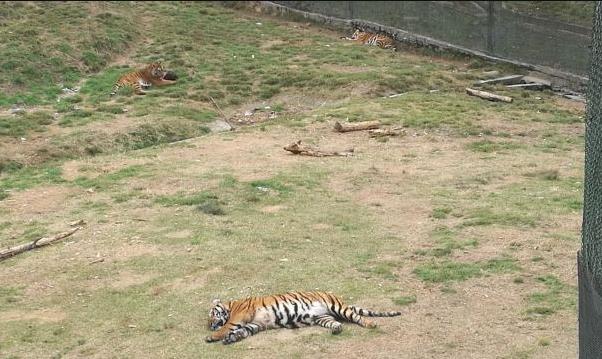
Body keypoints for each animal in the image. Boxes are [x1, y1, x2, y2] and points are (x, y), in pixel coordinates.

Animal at [204, 290, 400, 346]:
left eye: (212, 315)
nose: (210, 325)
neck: (231, 306)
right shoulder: (256, 324)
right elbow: (242, 332)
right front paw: (230, 339)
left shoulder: (240, 316)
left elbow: (227, 327)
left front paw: (212, 337)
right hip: (323, 318)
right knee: (338, 324)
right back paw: (336, 330)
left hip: (338, 308)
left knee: (358, 317)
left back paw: (371, 324)